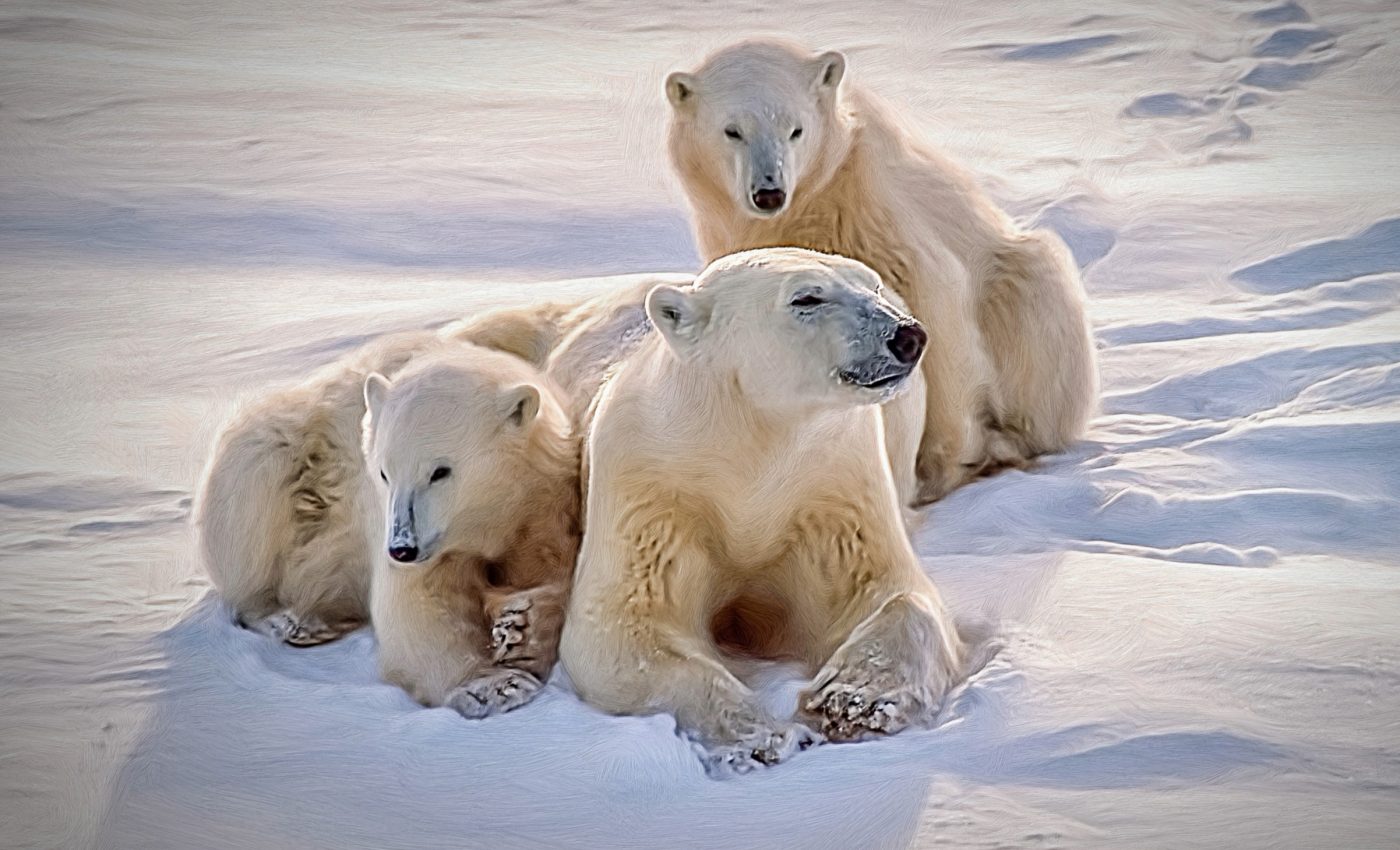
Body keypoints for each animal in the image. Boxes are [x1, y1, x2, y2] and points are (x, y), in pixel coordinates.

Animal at [360, 347, 578, 714]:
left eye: (440, 471)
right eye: (384, 472)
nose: (403, 548)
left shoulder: (544, 508)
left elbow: (551, 576)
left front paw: (518, 630)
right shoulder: (431, 549)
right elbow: (418, 607)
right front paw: (491, 688)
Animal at [558, 248, 964, 776]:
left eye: (872, 285)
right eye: (806, 297)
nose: (908, 336)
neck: (750, 442)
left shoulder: (832, 482)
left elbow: (890, 592)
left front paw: (854, 700)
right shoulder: (654, 486)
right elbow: (623, 626)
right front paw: (761, 737)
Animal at [664, 39, 1099, 502]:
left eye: (796, 130)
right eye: (733, 130)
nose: (769, 192)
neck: (809, 205)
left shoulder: (872, 205)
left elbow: (933, 300)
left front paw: (939, 465)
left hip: (1022, 291)